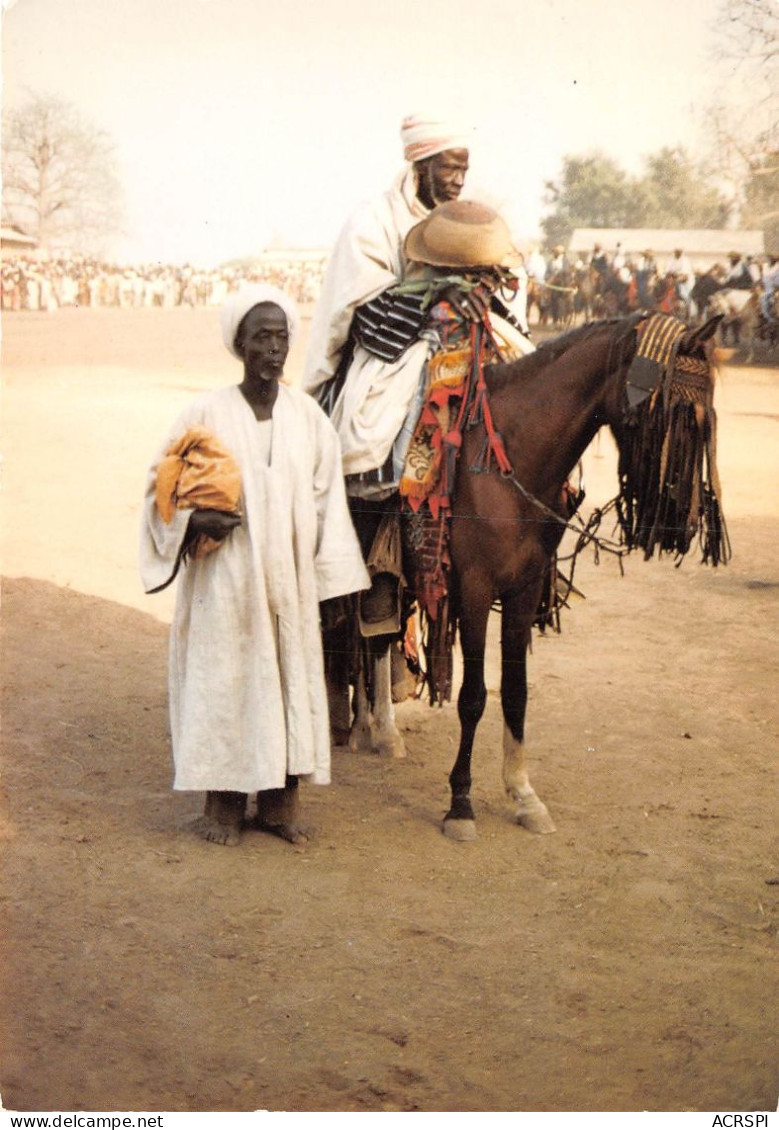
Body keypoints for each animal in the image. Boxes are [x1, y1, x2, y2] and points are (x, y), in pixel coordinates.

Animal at [330, 309, 728, 840]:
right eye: (672, 414)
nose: (683, 524)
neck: (514, 457)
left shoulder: (523, 588)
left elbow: (516, 694)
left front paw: (523, 794)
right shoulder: (474, 589)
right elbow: (474, 696)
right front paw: (460, 803)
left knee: (376, 636)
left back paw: (380, 730)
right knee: (356, 633)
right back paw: (360, 729)